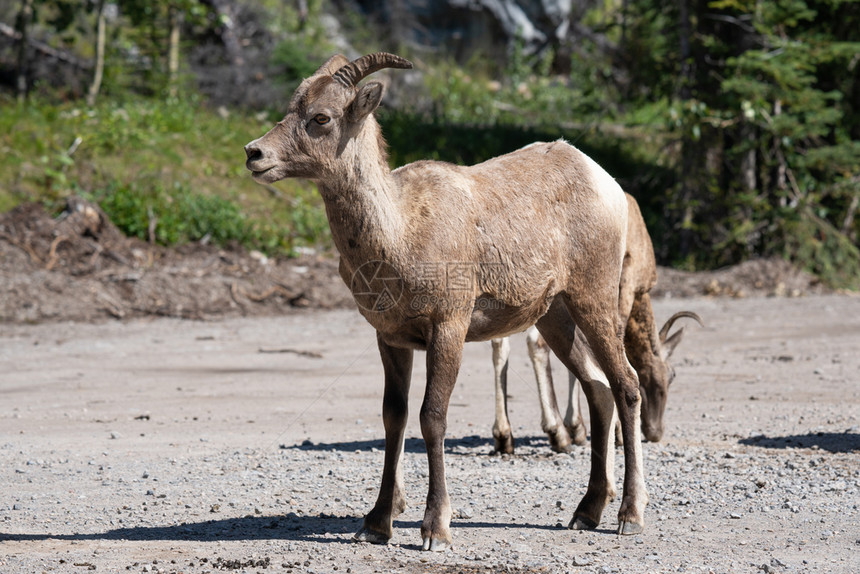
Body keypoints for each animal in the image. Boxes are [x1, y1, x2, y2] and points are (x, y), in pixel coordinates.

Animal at [242, 51, 644, 552]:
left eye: (321, 117)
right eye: (292, 107)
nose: (254, 154)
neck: (401, 231)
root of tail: (602, 179)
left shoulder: (448, 329)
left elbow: (431, 417)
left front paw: (435, 528)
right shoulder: (391, 339)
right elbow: (393, 418)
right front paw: (376, 524)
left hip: (594, 299)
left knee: (627, 385)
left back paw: (630, 516)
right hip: (555, 317)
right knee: (598, 388)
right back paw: (585, 513)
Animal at [490, 196, 704, 456]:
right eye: (672, 374)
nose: (655, 432)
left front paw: (579, 427)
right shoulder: (624, 283)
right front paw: (596, 429)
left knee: (500, 344)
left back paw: (504, 436)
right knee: (535, 342)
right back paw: (557, 433)